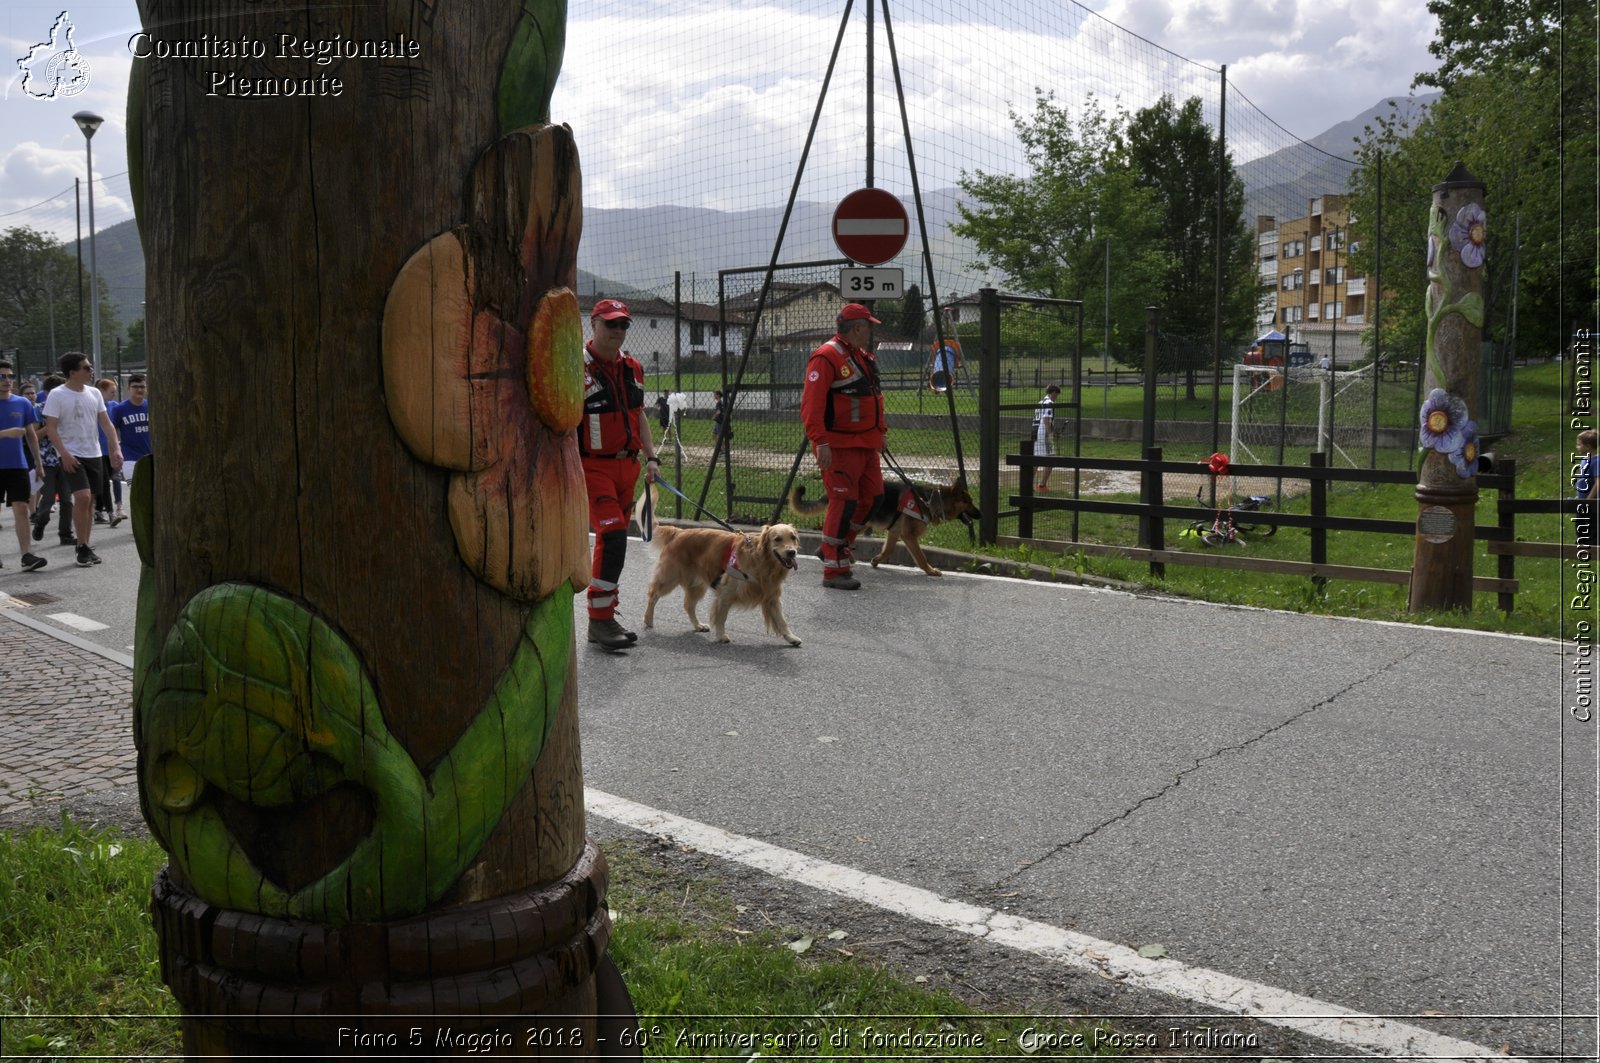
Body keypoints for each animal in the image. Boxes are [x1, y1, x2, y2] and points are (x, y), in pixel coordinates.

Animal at [640, 521, 800, 643]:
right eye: (777, 539)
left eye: (793, 538)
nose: (792, 552)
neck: (761, 560)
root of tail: (678, 532)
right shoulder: (726, 593)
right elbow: (721, 617)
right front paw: (721, 635)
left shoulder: (771, 595)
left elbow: (781, 620)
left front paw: (791, 637)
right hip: (669, 577)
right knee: (653, 595)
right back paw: (648, 619)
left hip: (697, 585)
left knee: (688, 605)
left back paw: (698, 625)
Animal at [784, 477, 972, 576]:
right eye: (970, 503)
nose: (978, 515)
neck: (929, 500)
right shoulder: (909, 536)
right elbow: (920, 556)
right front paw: (931, 571)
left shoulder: (895, 533)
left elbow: (888, 550)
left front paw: (876, 560)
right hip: (860, 520)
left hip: (861, 522)